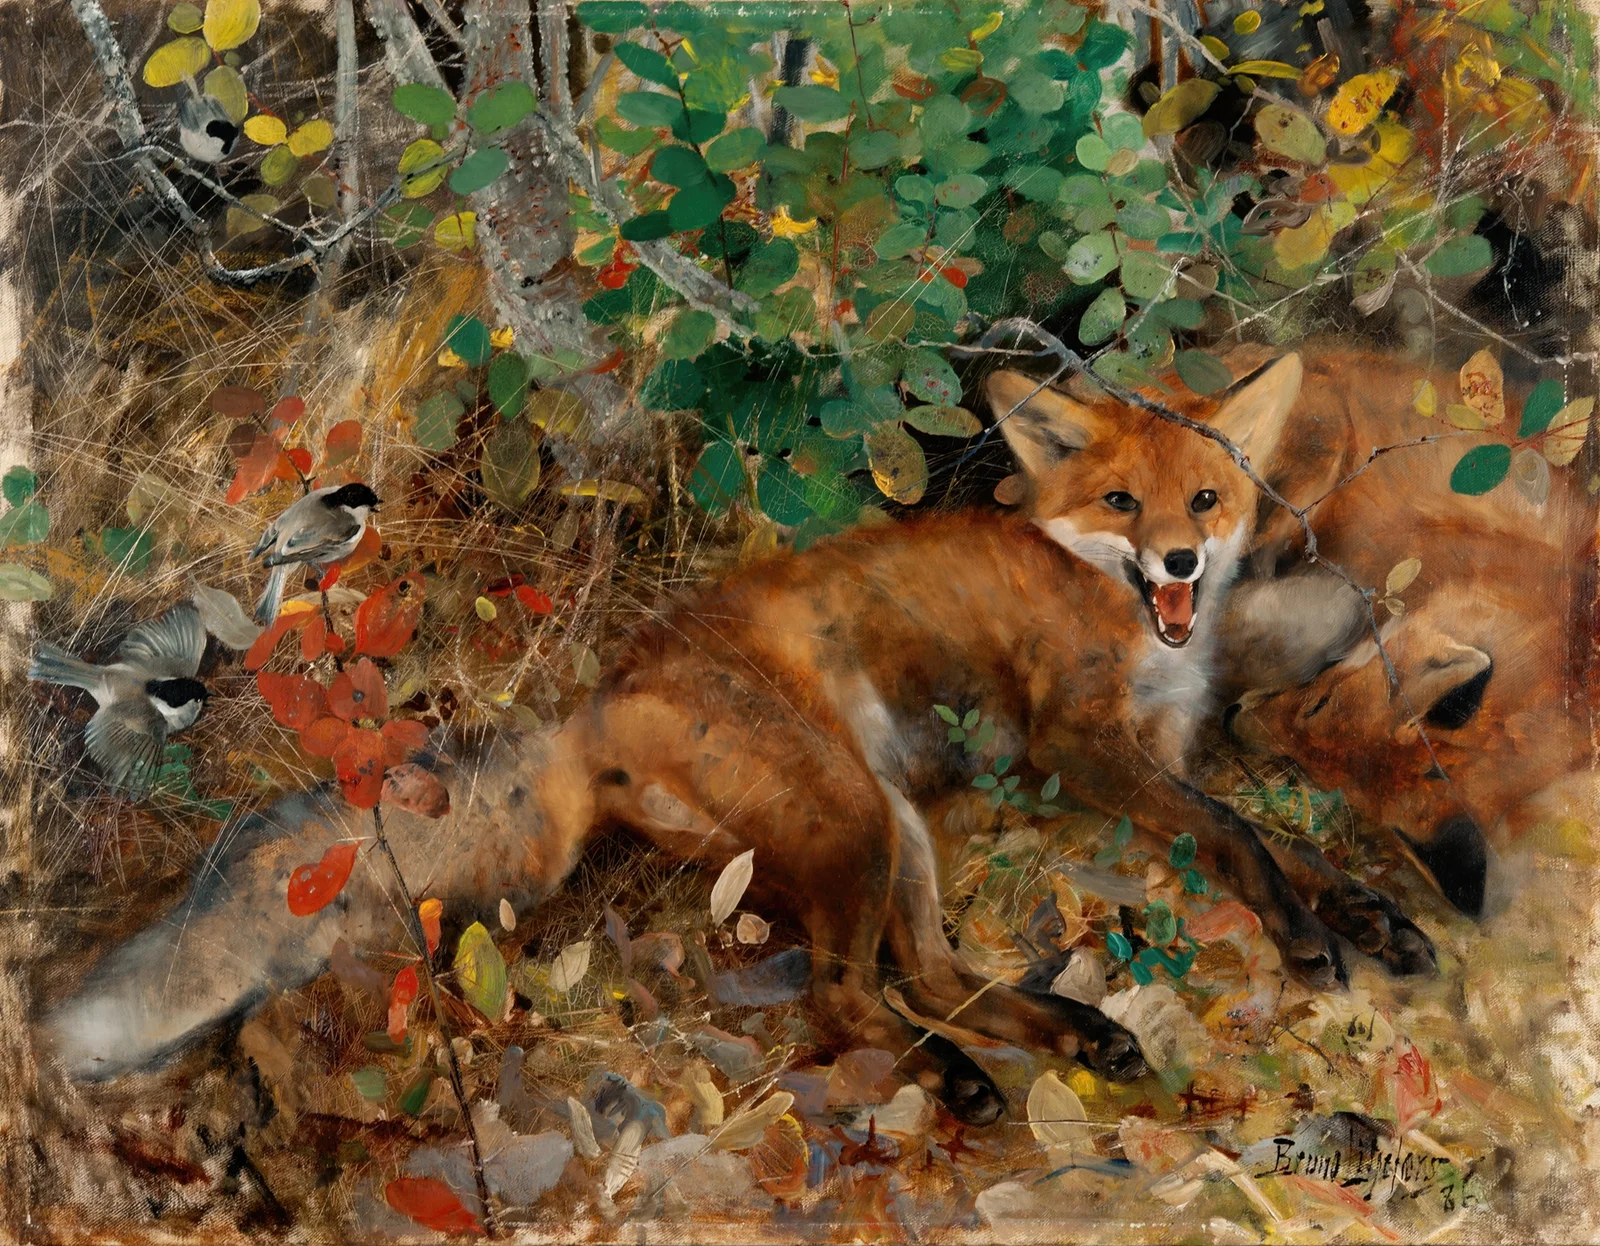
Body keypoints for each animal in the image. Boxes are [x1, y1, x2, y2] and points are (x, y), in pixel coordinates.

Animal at [42, 353, 1419, 1125]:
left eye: (1208, 499)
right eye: (1123, 503)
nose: (1182, 561)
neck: (1133, 626)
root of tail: (595, 700)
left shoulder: (1165, 752)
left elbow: (1285, 839)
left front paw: (1371, 916)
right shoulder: (1084, 747)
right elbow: (1240, 836)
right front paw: (1306, 939)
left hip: (891, 826)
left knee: (927, 975)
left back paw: (1068, 1036)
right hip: (854, 821)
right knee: (846, 993)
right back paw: (956, 1080)